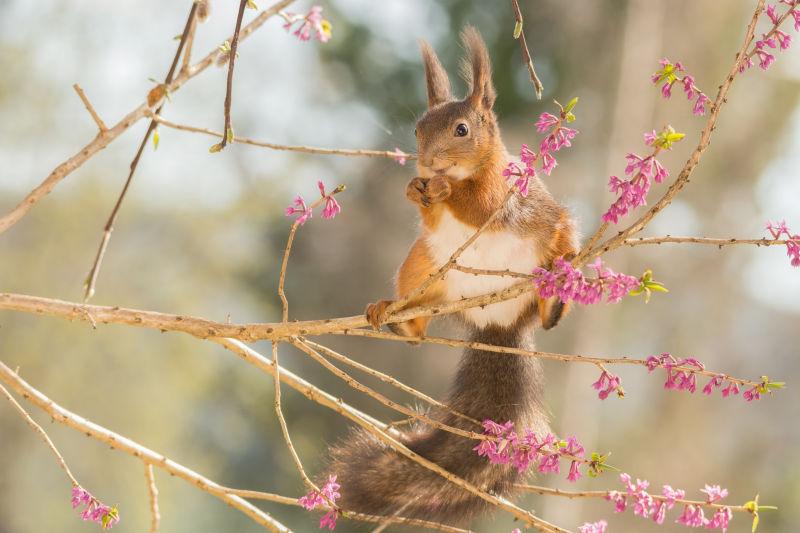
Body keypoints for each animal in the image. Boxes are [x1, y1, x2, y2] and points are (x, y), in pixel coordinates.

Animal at [324, 27, 576, 524]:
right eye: (417, 130)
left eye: (462, 129)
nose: (431, 163)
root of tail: (500, 324)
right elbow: (433, 213)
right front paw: (414, 188)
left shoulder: (501, 193)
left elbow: (475, 202)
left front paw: (443, 188)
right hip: (421, 263)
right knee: (418, 330)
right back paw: (395, 314)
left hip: (554, 236)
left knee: (556, 269)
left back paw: (554, 301)